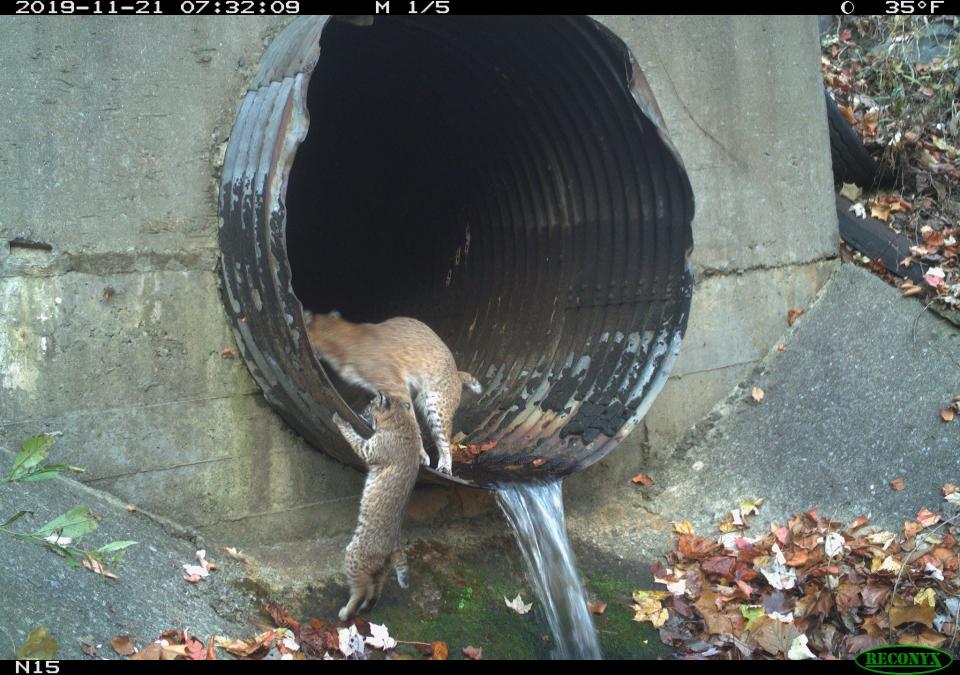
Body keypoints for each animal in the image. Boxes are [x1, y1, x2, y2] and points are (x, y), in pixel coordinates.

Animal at [306, 312, 484, 476]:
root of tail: (457, 372)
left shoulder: (398, 387)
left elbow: (412, 423)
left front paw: (421, 455)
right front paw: (366, 417)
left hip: (436, 406)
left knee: (445, 440)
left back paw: (445, 467)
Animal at [330, 394, 420, 620]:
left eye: (370, 405)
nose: (361, 410)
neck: (402, 418)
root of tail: (394, 545)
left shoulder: (368, 450)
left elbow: (353, 437)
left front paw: (340, 420)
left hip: (354, 554)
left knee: (361, 589)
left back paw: (346, 613)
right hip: (381, 569)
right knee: (375, 590)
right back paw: (365, 608)